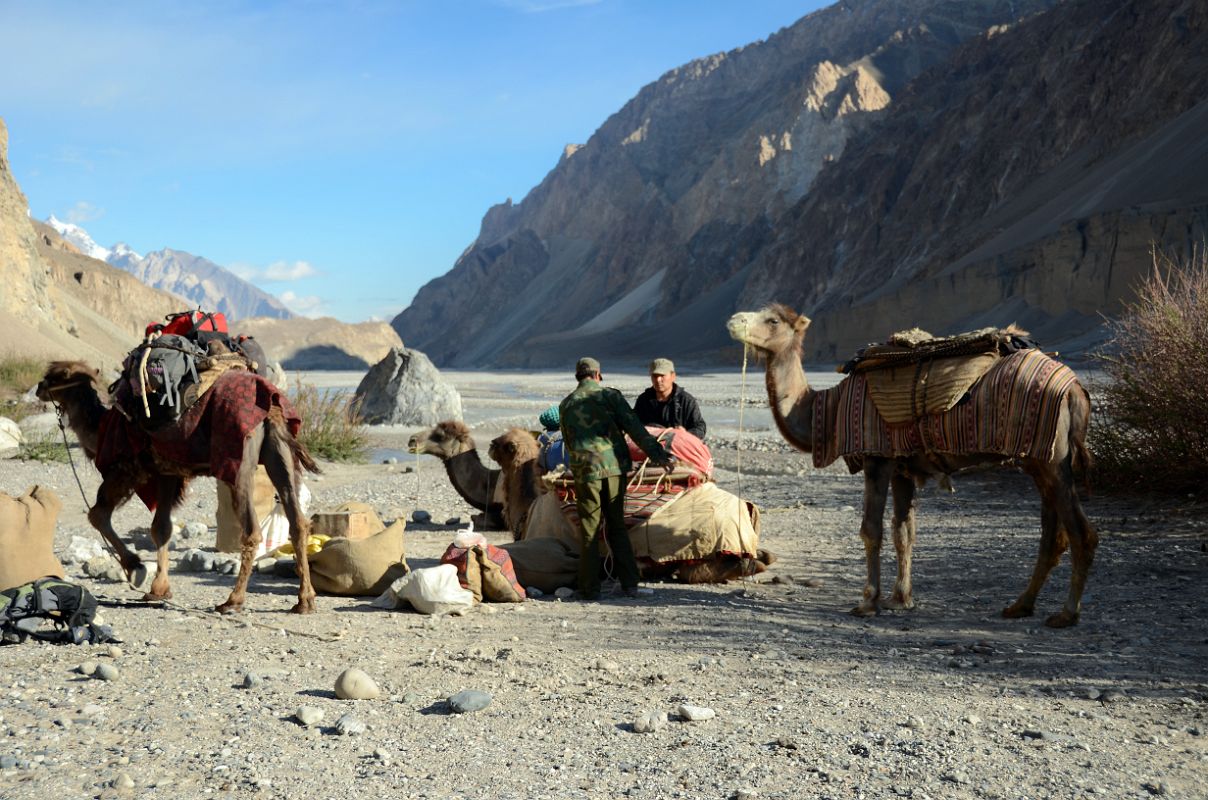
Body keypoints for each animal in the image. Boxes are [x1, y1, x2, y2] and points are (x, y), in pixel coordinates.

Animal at [35, 360, 321, 616]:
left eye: (55, 375)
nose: (38, 387)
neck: (101, 426)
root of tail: (270, 404)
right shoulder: (167, 472)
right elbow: (160, 527)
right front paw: (158, 589)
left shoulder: (126, 469)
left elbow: (98, 515)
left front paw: (136, 567)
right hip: (279, 454)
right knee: (298, 522)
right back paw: (304, 601)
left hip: (239, 462)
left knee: (252, 530)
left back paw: (233, 600)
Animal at [729, 305, 1101, 628]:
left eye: (773, 320)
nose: (734, 320)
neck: (827, 409)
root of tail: (1076, 390)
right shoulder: (903, 466)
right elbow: (904, 533)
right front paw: (900, 599)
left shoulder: (877, 457)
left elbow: (871, 530)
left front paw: (868, 601)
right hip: (1039, 458)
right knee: (1052, 534)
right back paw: (1020, 606)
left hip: (1053, 458)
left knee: (1080, 531)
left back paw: (1067, 613)